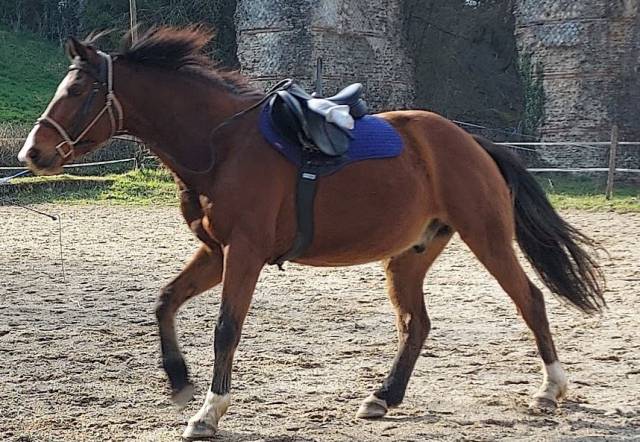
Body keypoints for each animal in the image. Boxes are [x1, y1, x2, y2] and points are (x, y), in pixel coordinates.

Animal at [17, 27, 605, 440]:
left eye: (78, 90)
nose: (31, 153)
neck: (221, 144)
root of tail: (470, 141)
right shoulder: (215, 252)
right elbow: (164, 302)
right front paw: (181, 383)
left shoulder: (244, 254)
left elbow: (226, 329)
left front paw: (209, 411)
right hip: (409, 256)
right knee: (416, 324)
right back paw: (385, 397)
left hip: (488, 238)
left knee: (530, 300)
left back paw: (550, 390)